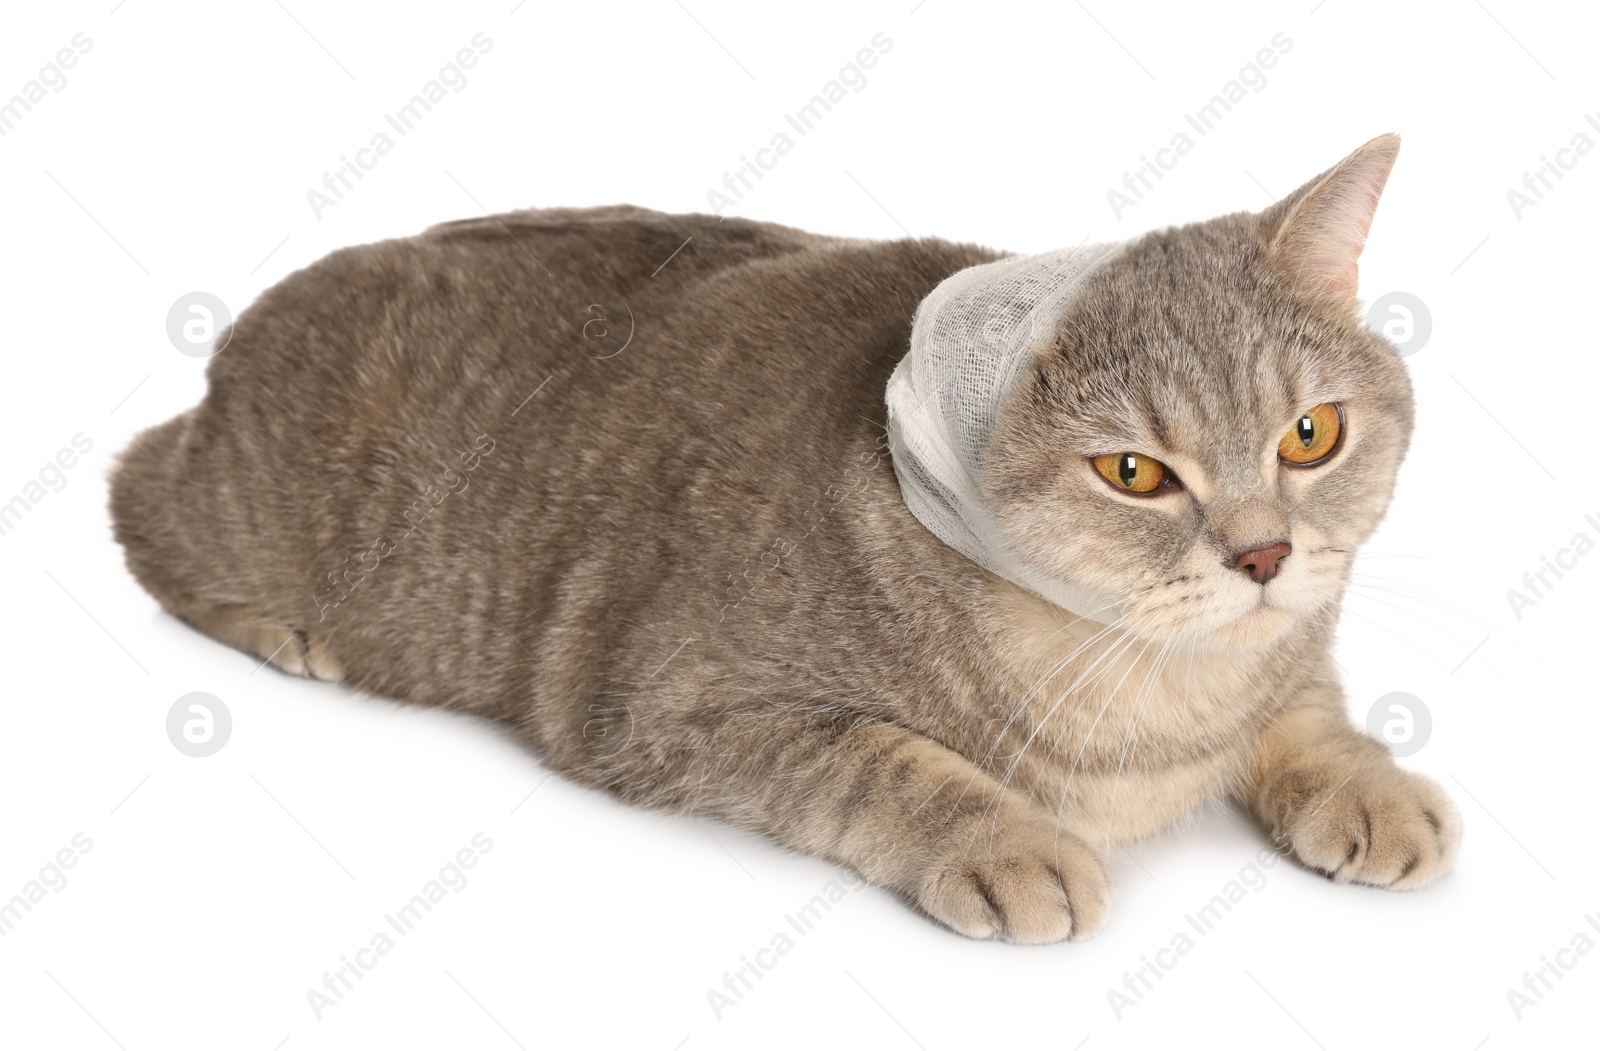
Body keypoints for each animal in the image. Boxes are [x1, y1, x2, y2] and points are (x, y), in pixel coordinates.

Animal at [109, 133, 1465, 940]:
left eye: (1310, 435)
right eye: (1134, 471)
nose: (1262, 556)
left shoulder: (1287, 651)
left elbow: (1308, 705)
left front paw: (1368, 779)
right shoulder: (668, 699)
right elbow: (883, 759)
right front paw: (1007, 839)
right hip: (234, 506)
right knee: (132, 495)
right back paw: (288, 633)